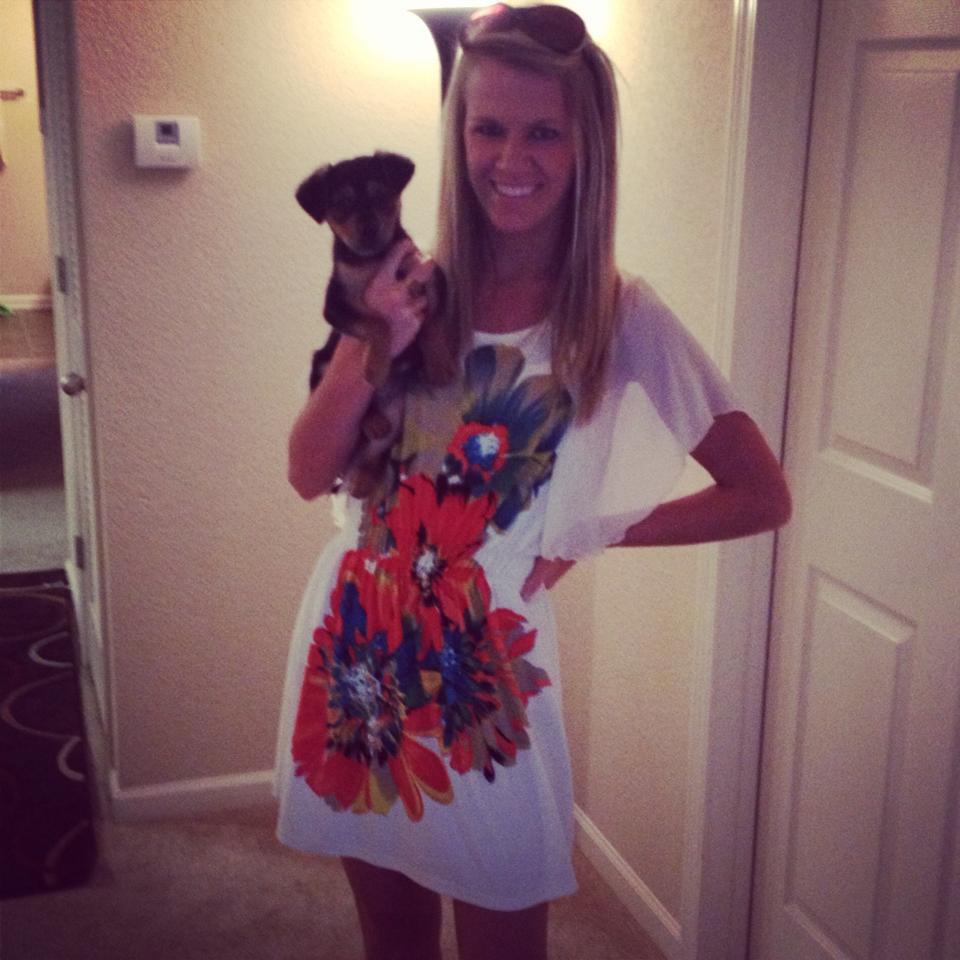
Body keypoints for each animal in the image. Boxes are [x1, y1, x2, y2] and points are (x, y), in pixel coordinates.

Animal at [295, 151, 451, 498]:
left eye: (381, 194)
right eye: (341, 203)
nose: (368, 229)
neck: (373, 260)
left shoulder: (428, 277)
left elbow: (434, 320)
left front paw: (439, 366)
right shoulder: (336, 307)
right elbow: (377, 322)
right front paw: (375, 367)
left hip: (399, 411)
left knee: (378, 450)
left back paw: (367, 476)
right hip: (321, 365)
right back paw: (370, 419)